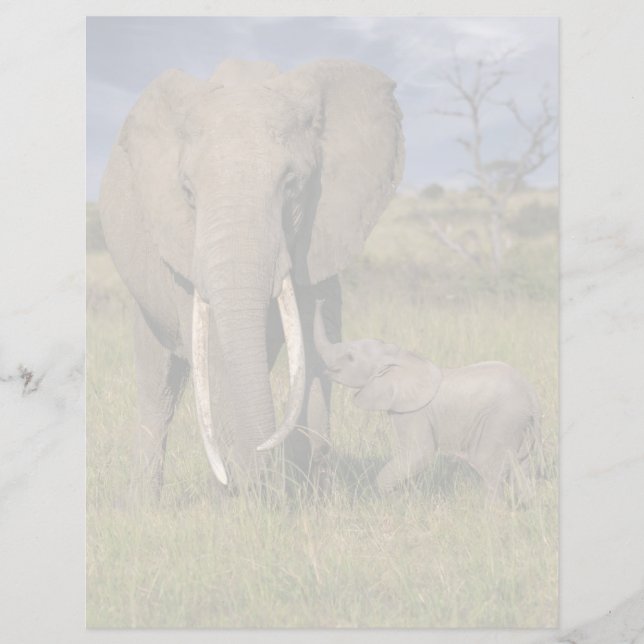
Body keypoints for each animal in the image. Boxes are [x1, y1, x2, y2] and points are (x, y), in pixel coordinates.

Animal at [98, 58, 404, 497]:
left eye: (292, 186)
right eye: (188, 192)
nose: (265, 474)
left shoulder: (321, 232)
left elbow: (316, 346)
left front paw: (313, 495)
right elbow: (214, 356)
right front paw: (247, 496)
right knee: (159, 387)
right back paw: (147, 503)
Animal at [313, 301, 542, 501]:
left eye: (350, 357)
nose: (320, 300)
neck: (397, 357)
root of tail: (531, 396)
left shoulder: (413, 412)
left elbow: (419, 453)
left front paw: (394, 499)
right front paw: (406, 498)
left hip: (502, 419)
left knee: (489, 466)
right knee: (522, 466)